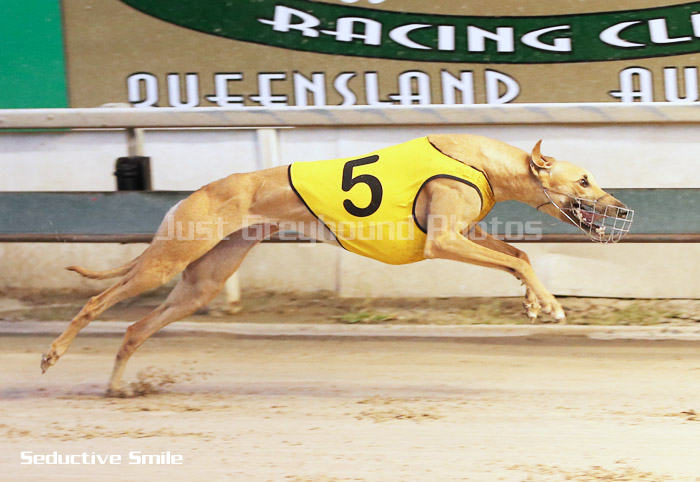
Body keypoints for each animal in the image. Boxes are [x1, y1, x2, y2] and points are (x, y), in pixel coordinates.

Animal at [40, 134, 633, 396]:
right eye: (584, 181)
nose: (623, 208)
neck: (484, 161)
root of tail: (195, 193)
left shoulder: (467, 233)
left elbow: (521, 255)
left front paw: (534, 303)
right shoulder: (442, 241)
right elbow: (522, 261)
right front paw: (550, 305)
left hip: (200, 283)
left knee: (136, 327)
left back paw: (118, 386)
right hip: (167, 263)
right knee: (96, 301)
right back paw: (54, 353)